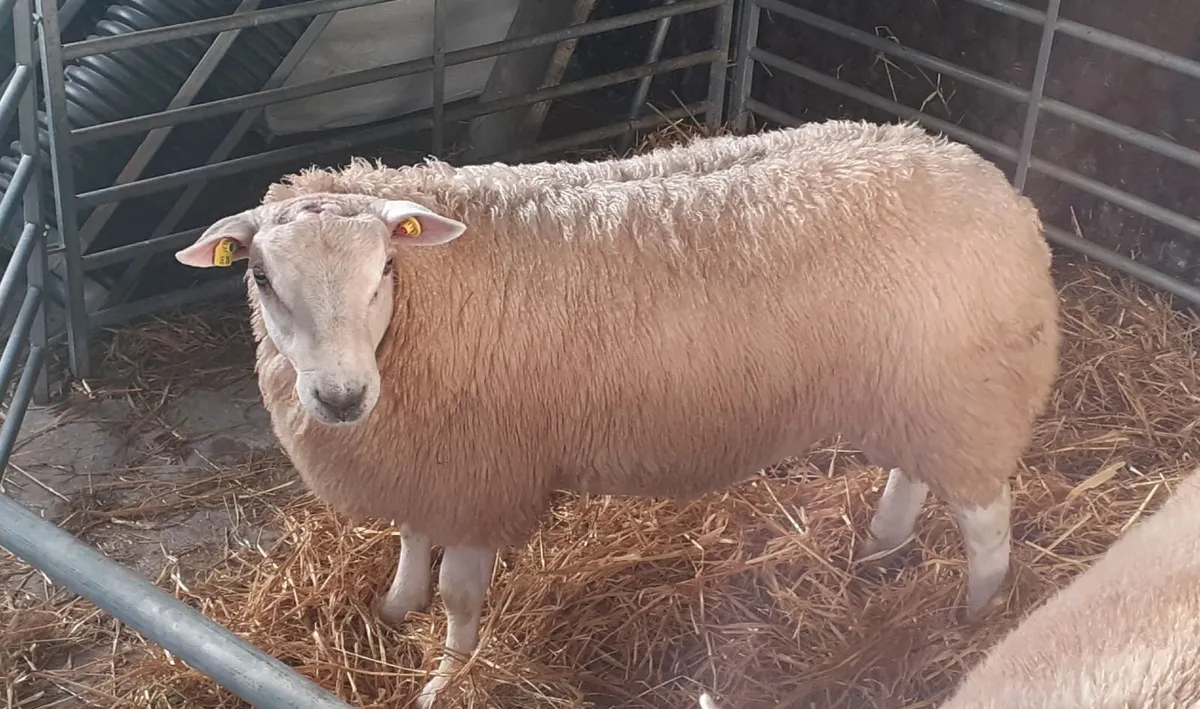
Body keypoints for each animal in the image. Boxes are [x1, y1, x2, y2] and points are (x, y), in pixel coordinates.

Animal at [174, 119, 1060, 707]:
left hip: (967, 392)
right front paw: (395, 608)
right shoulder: (431, 459)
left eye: (384, 268)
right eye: (260, 277)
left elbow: (460, 596)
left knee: (986, 518)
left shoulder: (483, 469)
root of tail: (992, 181)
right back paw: (881, 546)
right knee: (914, 472)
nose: (341, 396)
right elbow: (411, 537)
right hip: (917, 392)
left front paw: (447, 676)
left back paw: (975, 613)